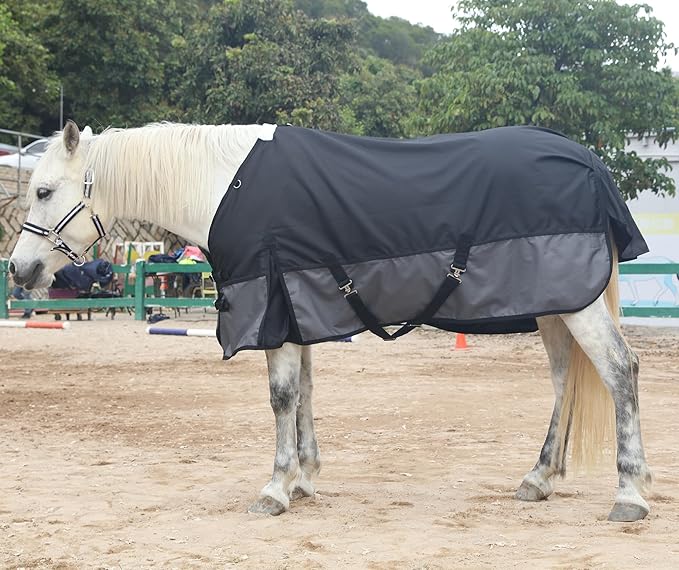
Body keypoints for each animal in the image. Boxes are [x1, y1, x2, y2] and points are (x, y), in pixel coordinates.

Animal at [8, 121, 652, 522]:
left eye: (43, 191)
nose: (19, 269)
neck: (223, 184)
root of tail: (587, 162)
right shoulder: (296, 305)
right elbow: (304, 393)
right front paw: (304, 479)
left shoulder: (272, 308)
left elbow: (280, 396)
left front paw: (275, 488)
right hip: (554, 306)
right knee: (567, 379)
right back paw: (539, 478)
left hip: (575, 304)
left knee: (619, 370)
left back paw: (630, 494)